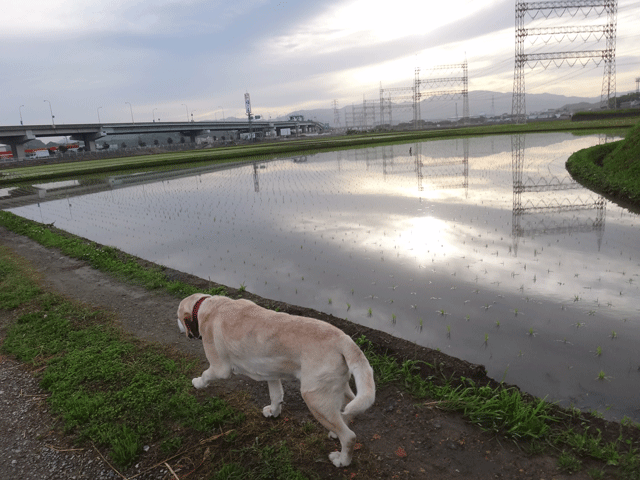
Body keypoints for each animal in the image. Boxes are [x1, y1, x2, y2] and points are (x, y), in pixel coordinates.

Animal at [176, 292, 376, 464]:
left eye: (178, 318)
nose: (178, 325)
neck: (208, 306)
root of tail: (344, 339)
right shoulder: (270, 372)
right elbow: (276, 395)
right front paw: (273, 412)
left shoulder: (219, 369)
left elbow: (205, 374)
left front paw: (198, 383)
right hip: (336, 388)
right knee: (349, 408)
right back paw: (337, 430)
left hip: (315, 399)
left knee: (349, 437)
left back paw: (342, 460)